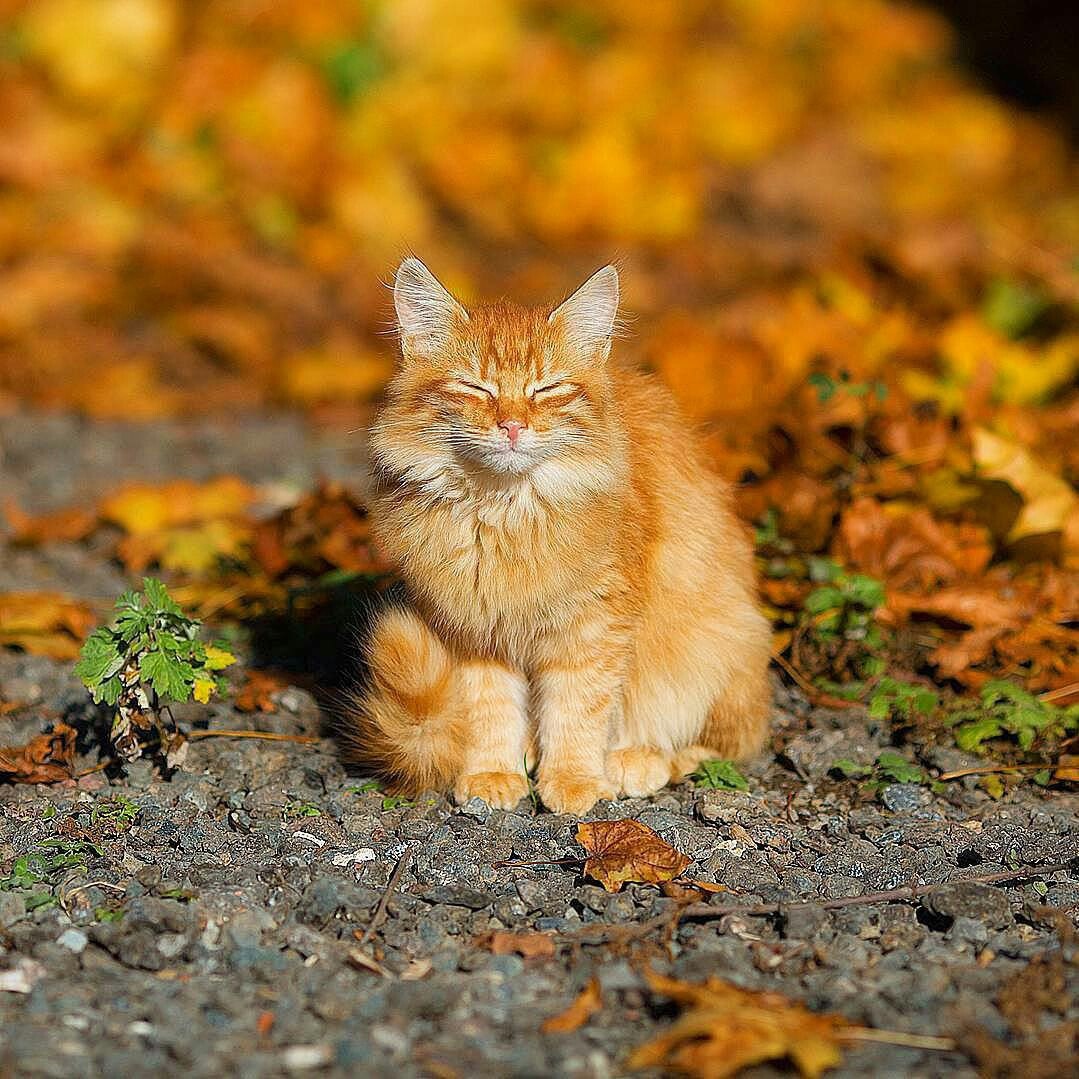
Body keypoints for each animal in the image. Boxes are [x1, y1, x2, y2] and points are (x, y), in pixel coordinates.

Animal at [349, 261, 772, 811]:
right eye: (476, 388)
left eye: (545, 390)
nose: (511, 426)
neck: (503, 515)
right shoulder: (472, 632)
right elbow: (490, 713)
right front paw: (492, 773)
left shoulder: (594, 629)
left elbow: (577, 712)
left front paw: (574, 780)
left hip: (720, 646)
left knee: (724, 746)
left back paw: (637, 760)